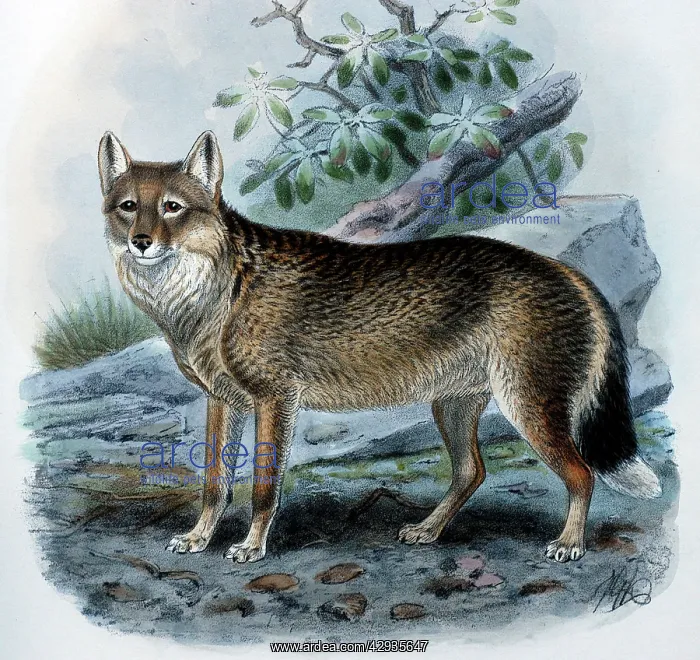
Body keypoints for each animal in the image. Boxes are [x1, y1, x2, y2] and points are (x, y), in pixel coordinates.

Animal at [98, 130, 661, 564]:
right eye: (129, 208)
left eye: (173, 208)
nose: (142, 242)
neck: (222, 291)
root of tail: (567, 271)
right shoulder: (222, 401)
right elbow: (215, 484)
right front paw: (199, 538)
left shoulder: (275, 401)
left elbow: (262, 488)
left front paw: (252, 547)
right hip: (454, 407)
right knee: (472, 472)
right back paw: (428, 530)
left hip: (525, 409)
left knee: (581, 474)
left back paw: (569, 543)